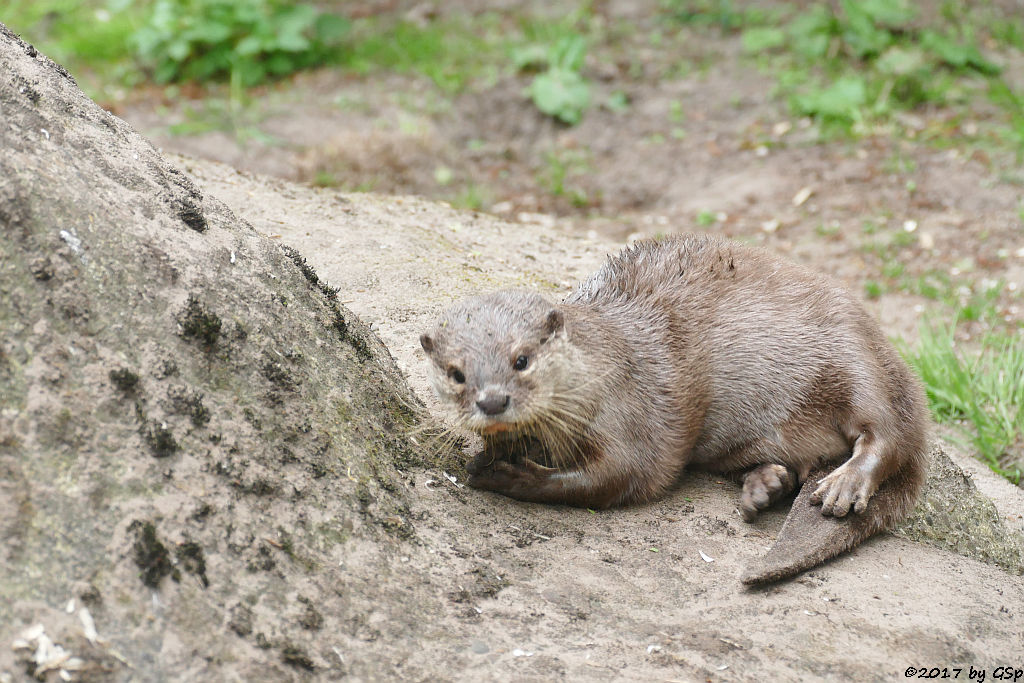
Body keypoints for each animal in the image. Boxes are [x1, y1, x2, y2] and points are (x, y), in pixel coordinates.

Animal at [419, 233, 933, 581]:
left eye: (521, 359)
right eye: (456, 373)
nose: (492, 400)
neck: (599, 367)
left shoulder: (633, 411)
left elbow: (618, 476)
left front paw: (506, 475)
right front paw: (493, 456)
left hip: (856, 357)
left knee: (888, 430)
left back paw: (844, 483)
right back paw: (763, 486)